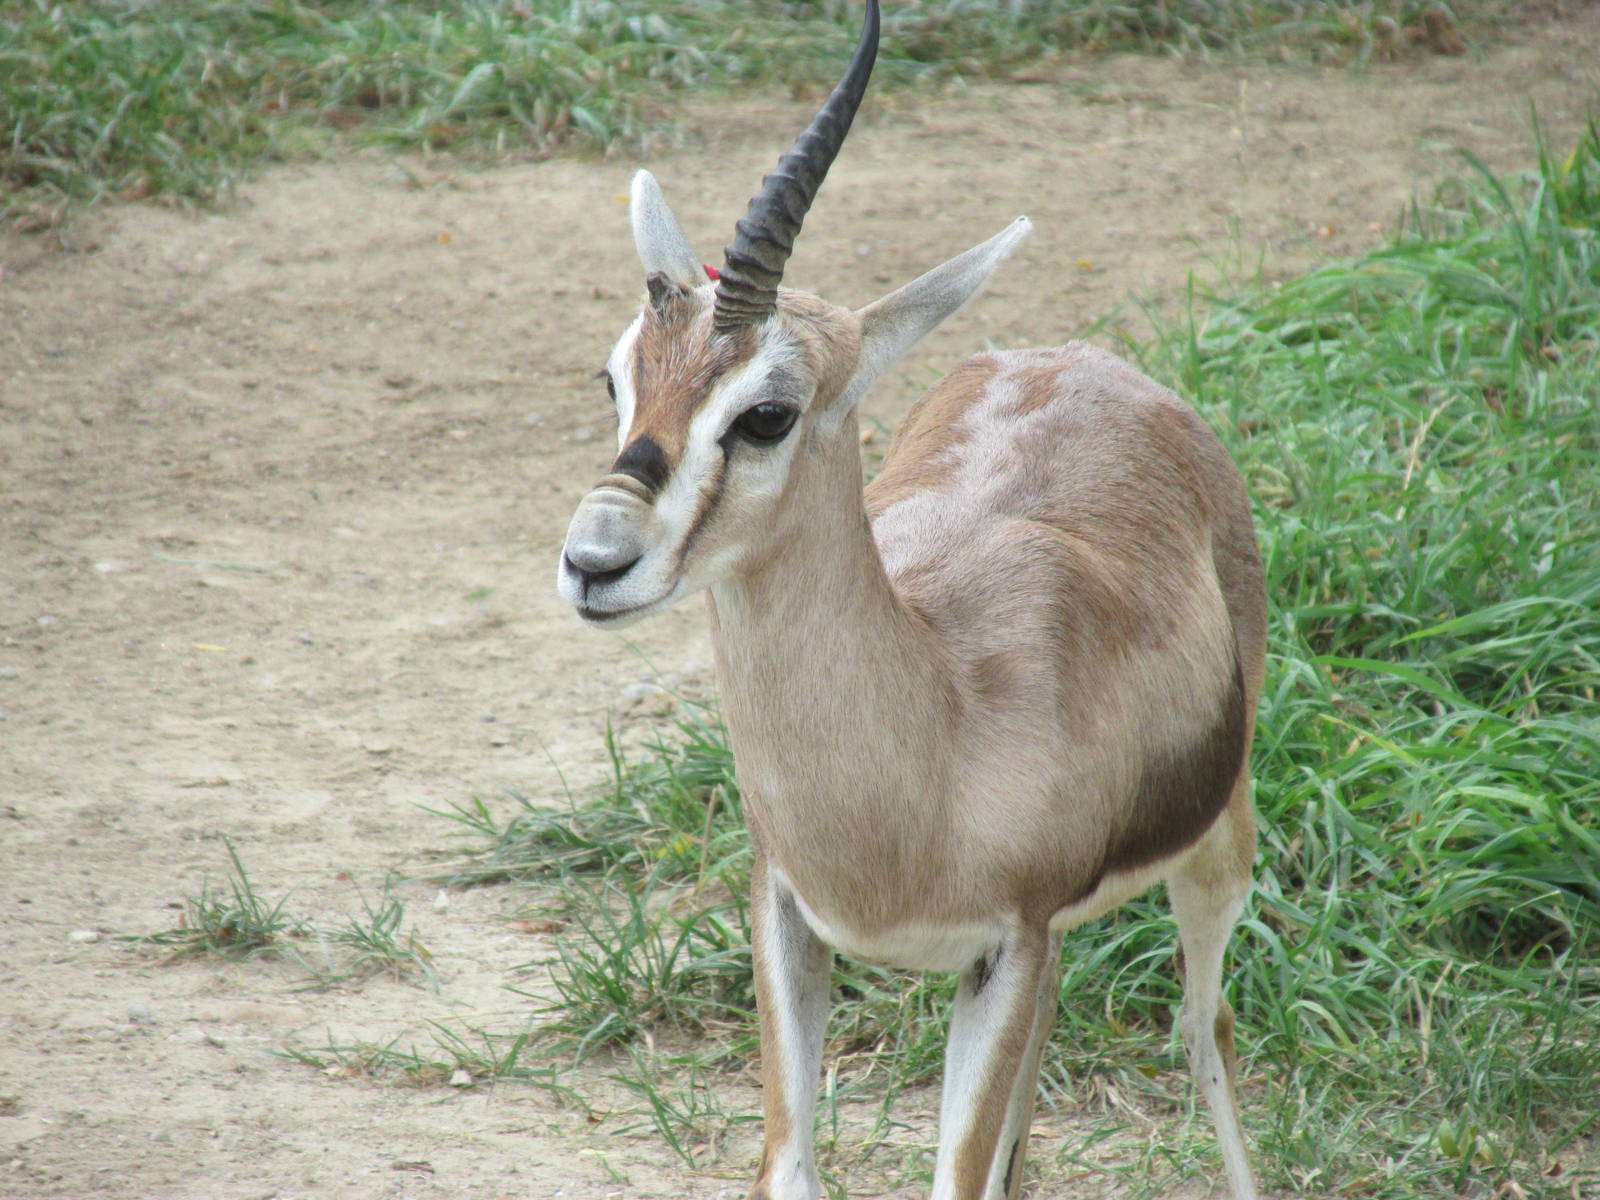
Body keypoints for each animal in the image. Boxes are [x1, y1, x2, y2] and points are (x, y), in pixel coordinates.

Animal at [556, 2, 1266, 1196]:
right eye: (617, 379)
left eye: (767, 412)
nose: (594, 561)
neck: (936, 731)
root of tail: (1089, 360)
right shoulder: (790, 915)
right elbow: (791, 1166)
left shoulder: (1006, 940)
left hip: (1215, 846)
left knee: (1204, 1034)